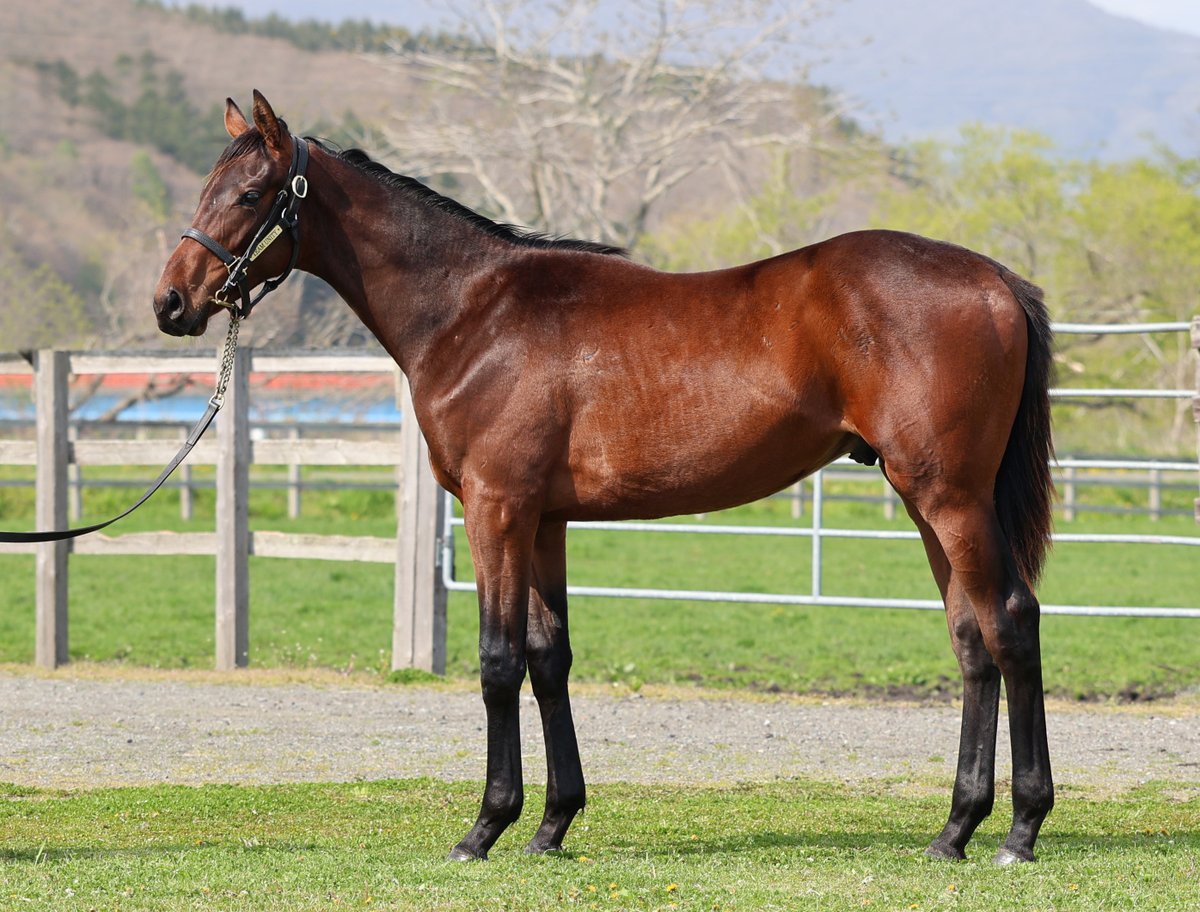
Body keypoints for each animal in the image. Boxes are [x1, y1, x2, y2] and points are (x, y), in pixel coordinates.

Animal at [154, 91, 1056, 865]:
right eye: (208, 187)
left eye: (250, 193)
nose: (170, 303)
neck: (473, 312)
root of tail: (994, 279)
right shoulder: (543, 520)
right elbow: (549, 658)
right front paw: (552, 824)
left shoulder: (496, 509)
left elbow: (498, 661)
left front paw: (485, 827)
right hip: (929, 501)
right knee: (972, 640)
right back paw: (955, 829)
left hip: (951, 498)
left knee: (1010, 623)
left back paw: (1020, 829)